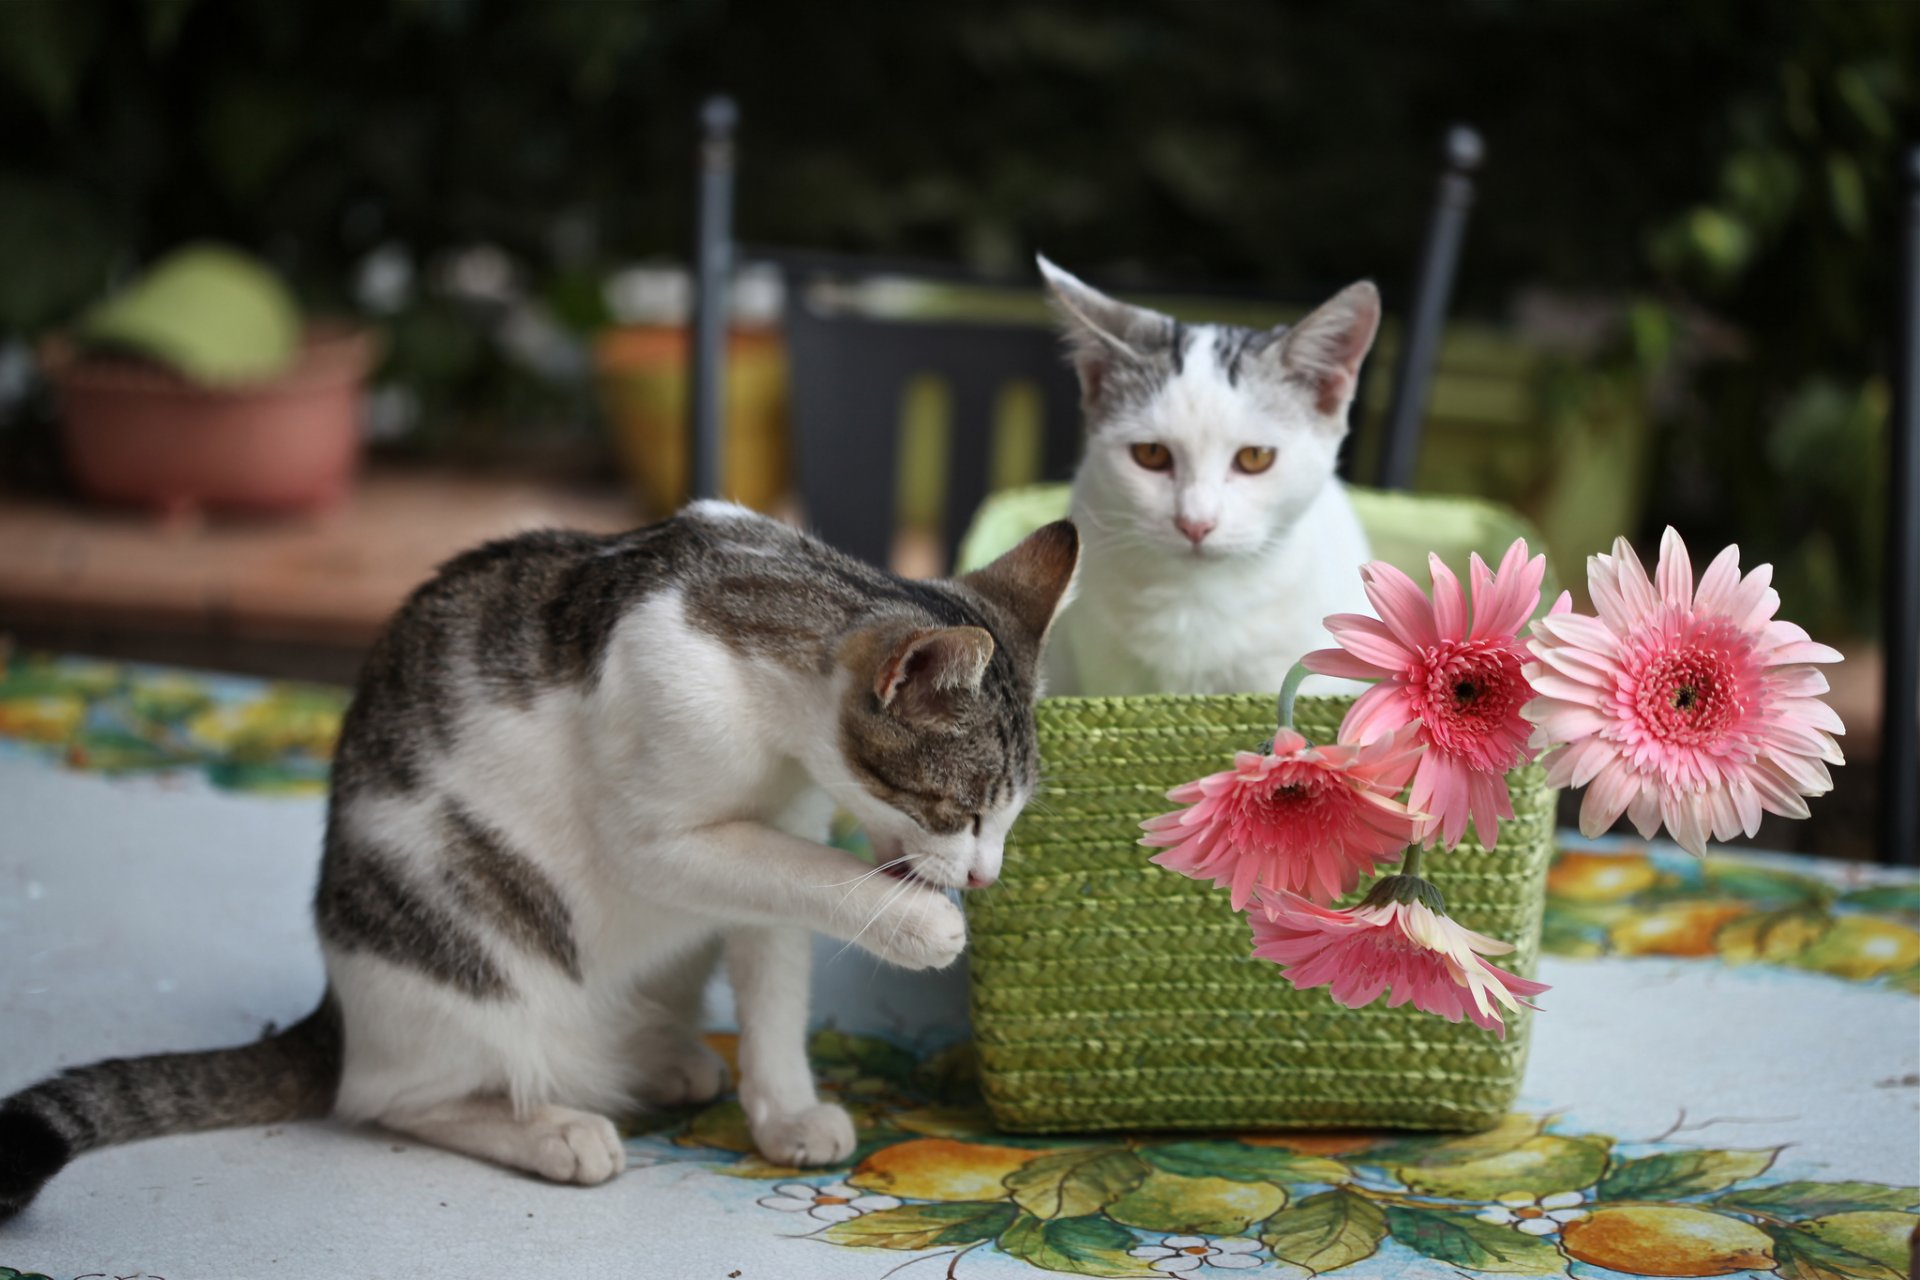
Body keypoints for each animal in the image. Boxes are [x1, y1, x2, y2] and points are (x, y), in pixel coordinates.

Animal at [0, 498, 1082, 1212]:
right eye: (957, 808)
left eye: (1010, 817)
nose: (984, 876)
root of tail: (340, 1011)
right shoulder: (658, 836)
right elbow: (808, 878)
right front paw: (922, 924)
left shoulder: (786, 835)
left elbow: (778, 970)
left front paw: (784, 1111)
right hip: (462, 958)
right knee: (387, 1096)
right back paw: (553, 1127)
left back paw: (664, 1058)